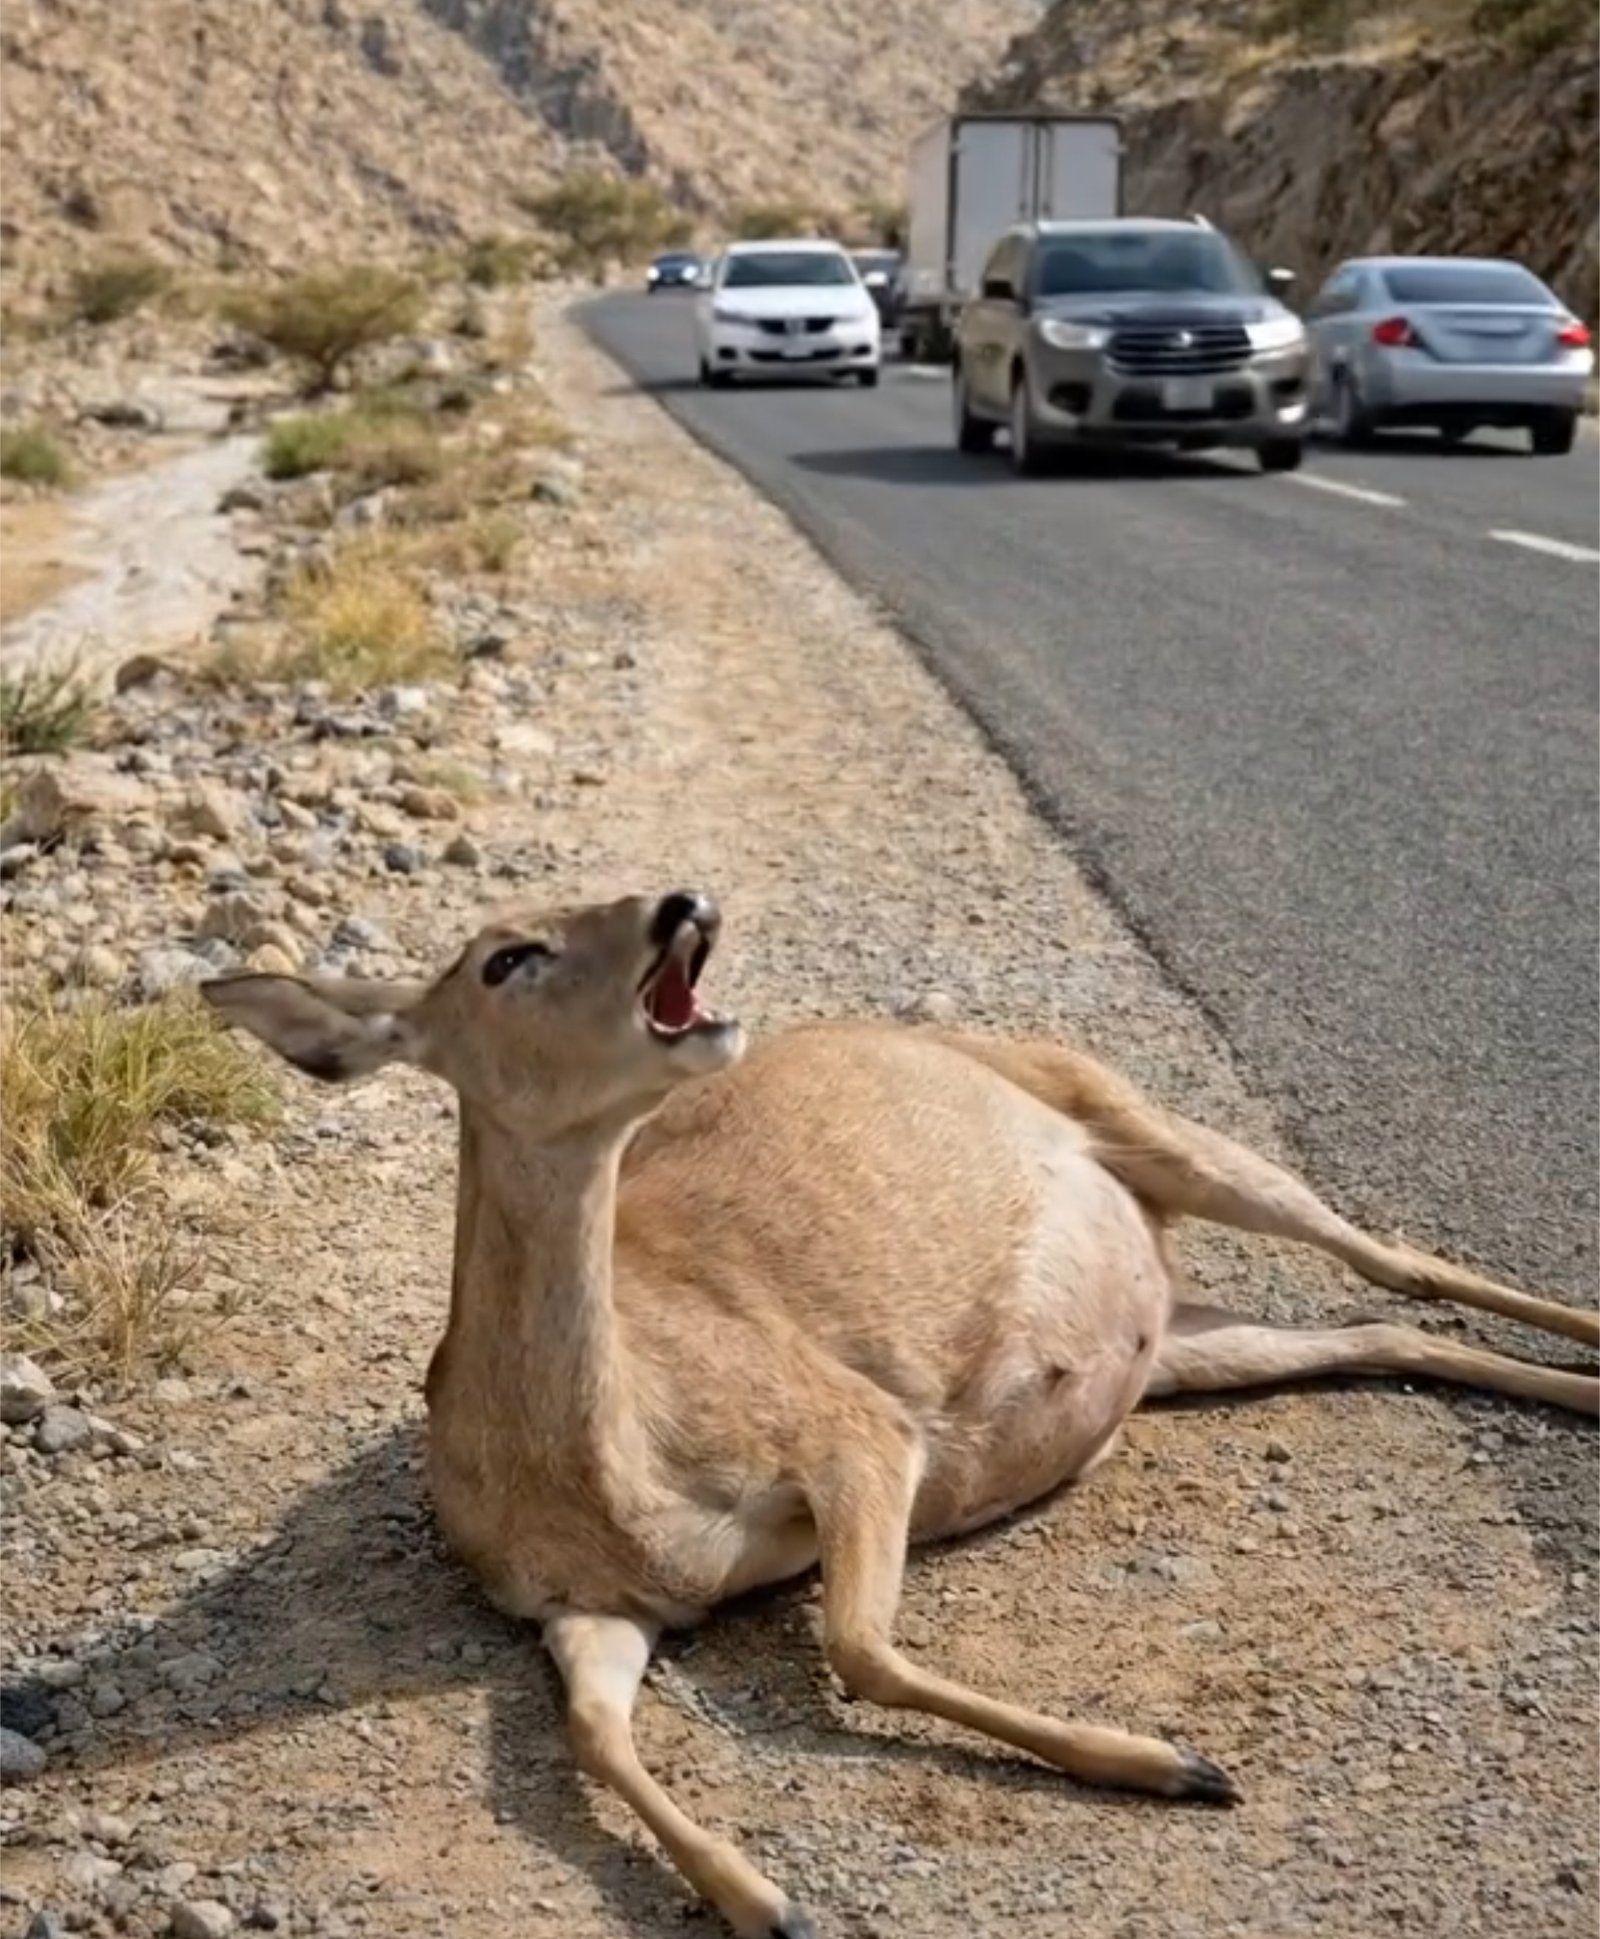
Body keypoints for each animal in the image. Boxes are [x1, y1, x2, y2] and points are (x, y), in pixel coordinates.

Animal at [202, 888, 1599, 1939]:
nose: (680, 900)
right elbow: (592, 1734)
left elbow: (860, 1646)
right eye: (505, 954)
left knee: (1396, 1261)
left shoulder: (856, 1427)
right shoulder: (589, 1609)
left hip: (1150, 1122)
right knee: (1382, 1330)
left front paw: (1174, 1764)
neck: (607, 1473)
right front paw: (764, 1900)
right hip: (1174, 1342)